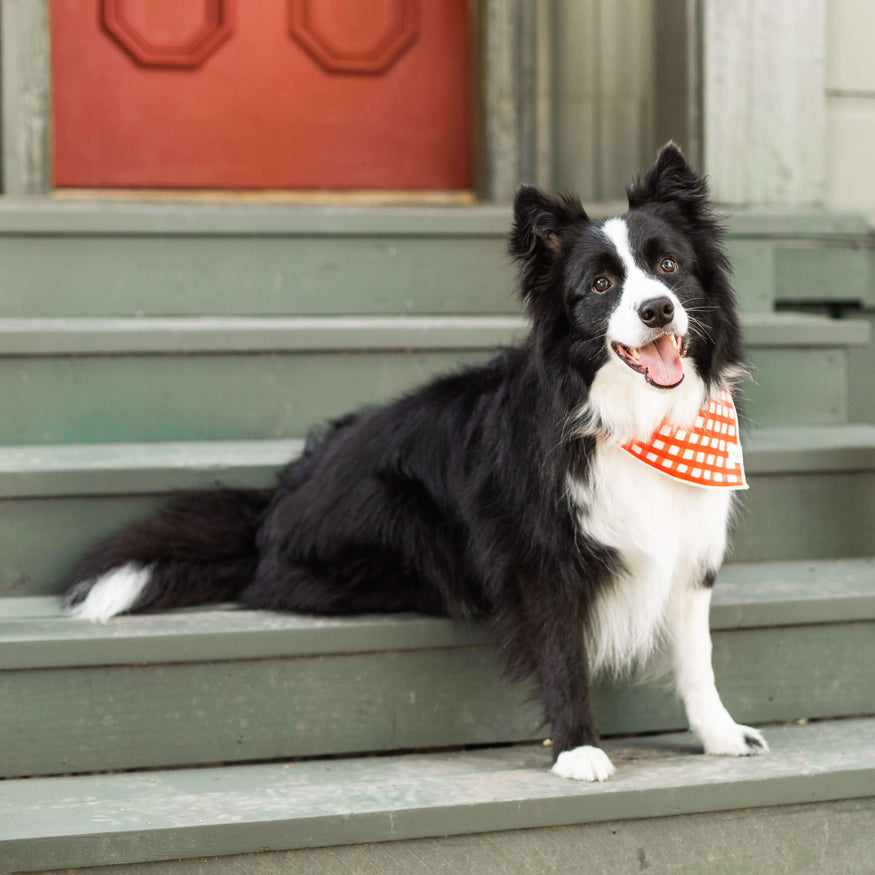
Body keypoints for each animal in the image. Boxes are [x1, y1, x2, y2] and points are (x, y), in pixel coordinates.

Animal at [66, 145, 768, 788]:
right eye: (600, 285)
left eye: (668, 266)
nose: (657, 310)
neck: (634, 422)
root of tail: (274, 502)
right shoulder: (539, 558)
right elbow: (562, 653)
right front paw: (578, 750)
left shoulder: (688, 549)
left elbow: (698, 657)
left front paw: (720, 733)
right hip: (394, 514)